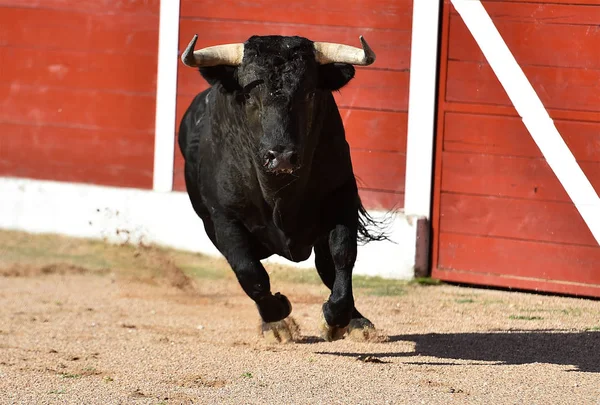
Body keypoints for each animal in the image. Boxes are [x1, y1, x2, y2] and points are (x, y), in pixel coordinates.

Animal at [176, 34, 386, 340]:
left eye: (309, 94)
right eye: (249, 95)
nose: (282, 156)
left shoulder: (341, 197)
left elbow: (342, 256)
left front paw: (336, 319)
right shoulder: (224, 217)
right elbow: (249, 271)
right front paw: (277, 318)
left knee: (326, 266)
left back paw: (356, 322)